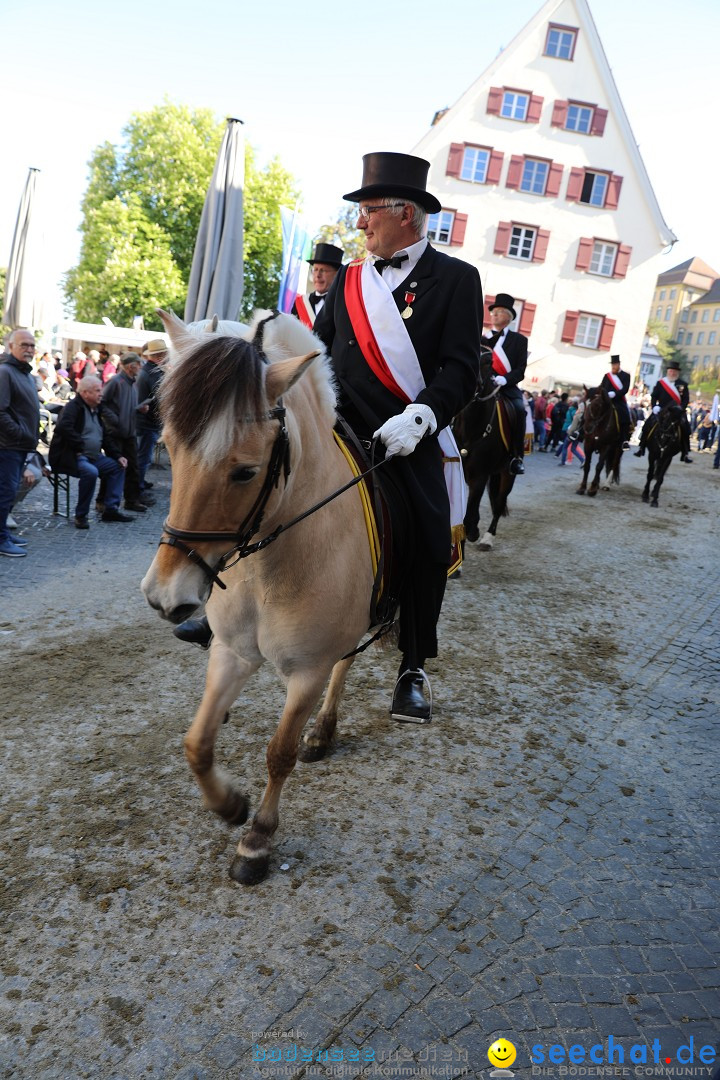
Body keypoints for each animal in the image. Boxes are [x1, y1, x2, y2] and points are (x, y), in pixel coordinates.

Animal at [142, 311, 377, 885]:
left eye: (245, 471)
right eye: (168, 446)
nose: (166, 596)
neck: (270, 567)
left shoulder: (307, 671)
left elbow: (279, 753)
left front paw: (257, 841)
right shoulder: (232, 652)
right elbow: (197, 742)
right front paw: (229, 805)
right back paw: (324, 732)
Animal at [455, 347, 518, 548]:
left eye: (488, 362)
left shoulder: (480, 476)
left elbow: (468, 519)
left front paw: (474, 532)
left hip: (508, 473)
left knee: (499, 504)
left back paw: (488, 538)